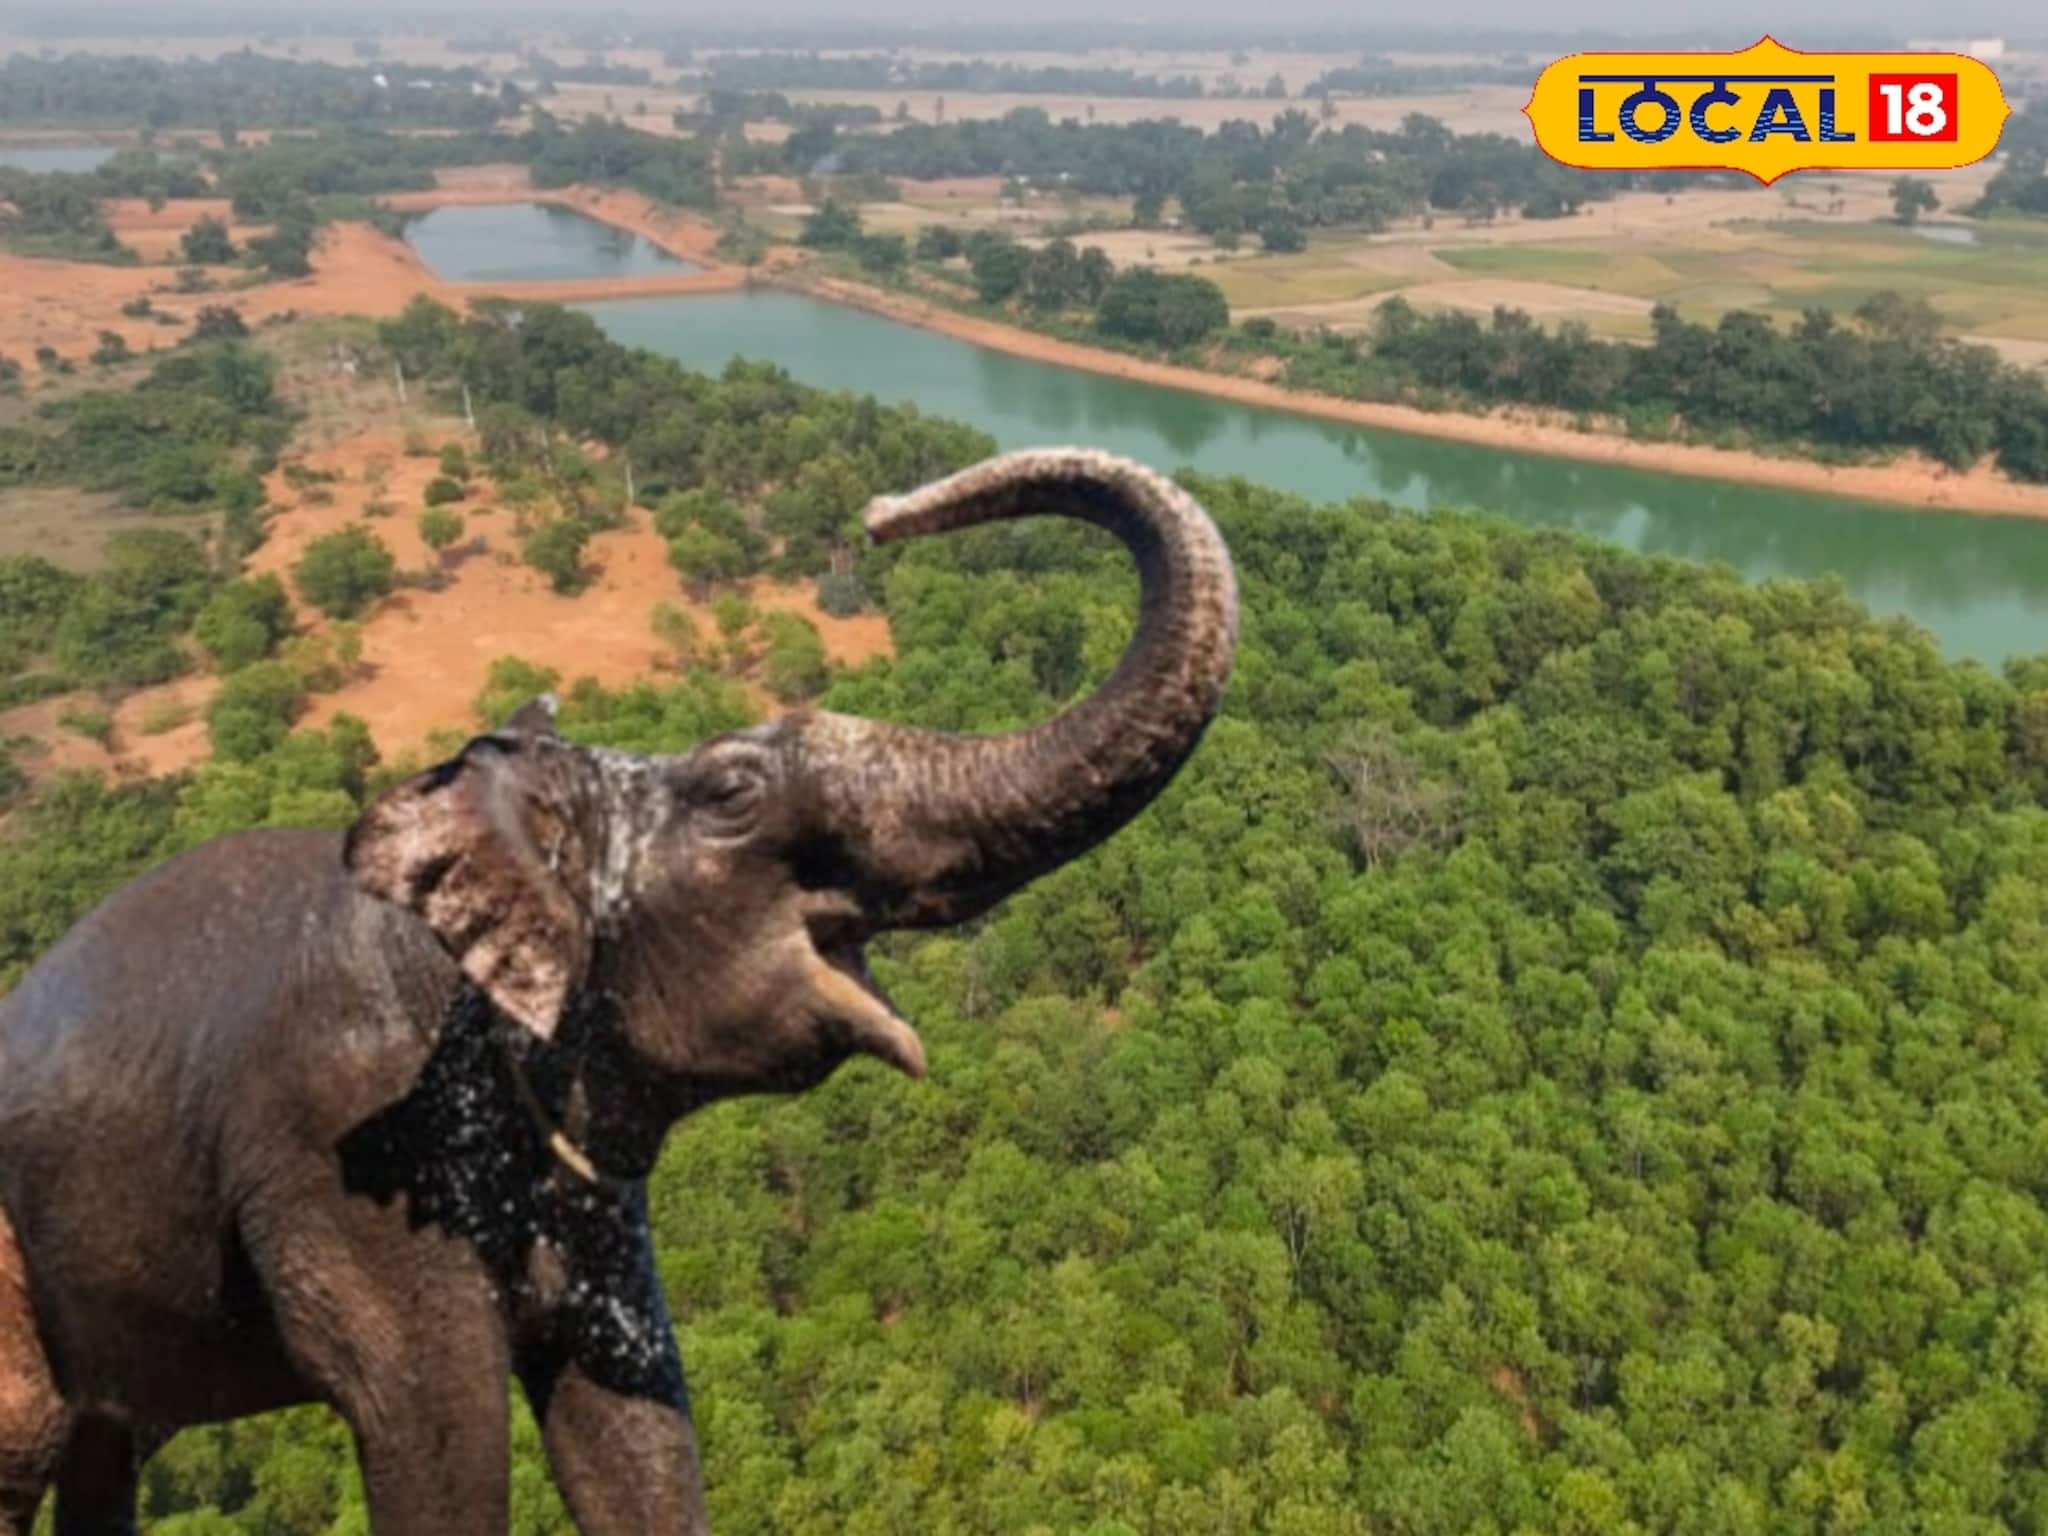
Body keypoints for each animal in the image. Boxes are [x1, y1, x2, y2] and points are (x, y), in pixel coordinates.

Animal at [0, 448, 1237, 1534]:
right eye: (733, 789)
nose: (882, 514)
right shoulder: (338, 1153)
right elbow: (437, 1438)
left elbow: (631, 1426)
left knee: (107, 1450)